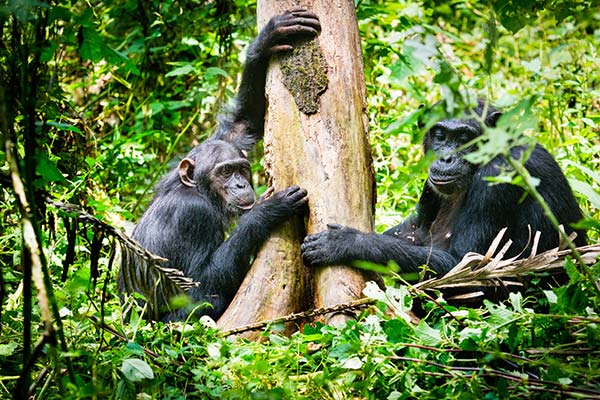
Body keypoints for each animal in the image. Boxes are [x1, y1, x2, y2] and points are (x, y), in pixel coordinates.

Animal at [119, 9, 322, 322]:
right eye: (225, 172)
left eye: (240, 169)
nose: (240, 184)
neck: (200, 192)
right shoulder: (193, 216)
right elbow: (199, 285)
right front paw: (267, 210)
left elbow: (241, 124)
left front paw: (265, 42)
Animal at [302, 100, 584, 296]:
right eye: (440, 135)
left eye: (464, 137)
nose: (446, 157)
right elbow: (416, 229)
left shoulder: (496, 177)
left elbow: (466, 266)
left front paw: (346, 242)